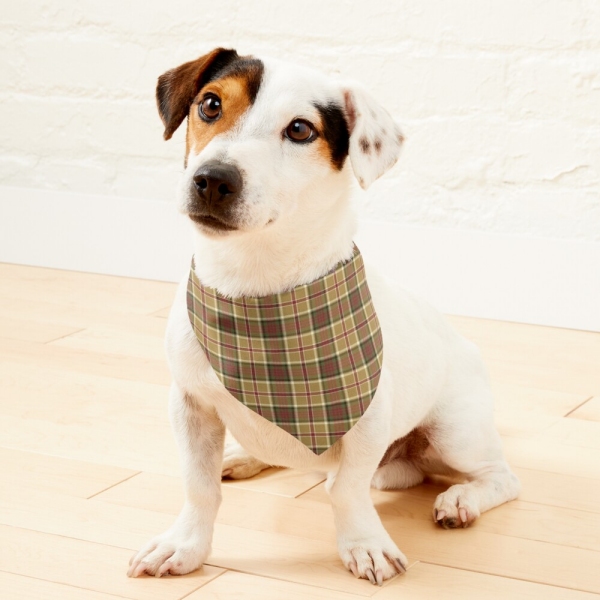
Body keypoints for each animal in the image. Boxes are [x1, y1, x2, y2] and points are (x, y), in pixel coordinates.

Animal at [127, 48, 520, 584]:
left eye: (299, 130)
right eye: (210, 104)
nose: (212, 179)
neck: (255, 286)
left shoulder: (367, 419)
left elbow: (347, 490)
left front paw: (365, 544)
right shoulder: (190, 405)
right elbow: (199, 486)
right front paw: (185, 545)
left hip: (456, 432)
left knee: (500, 477)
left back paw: (461, 499)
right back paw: (244, 456)